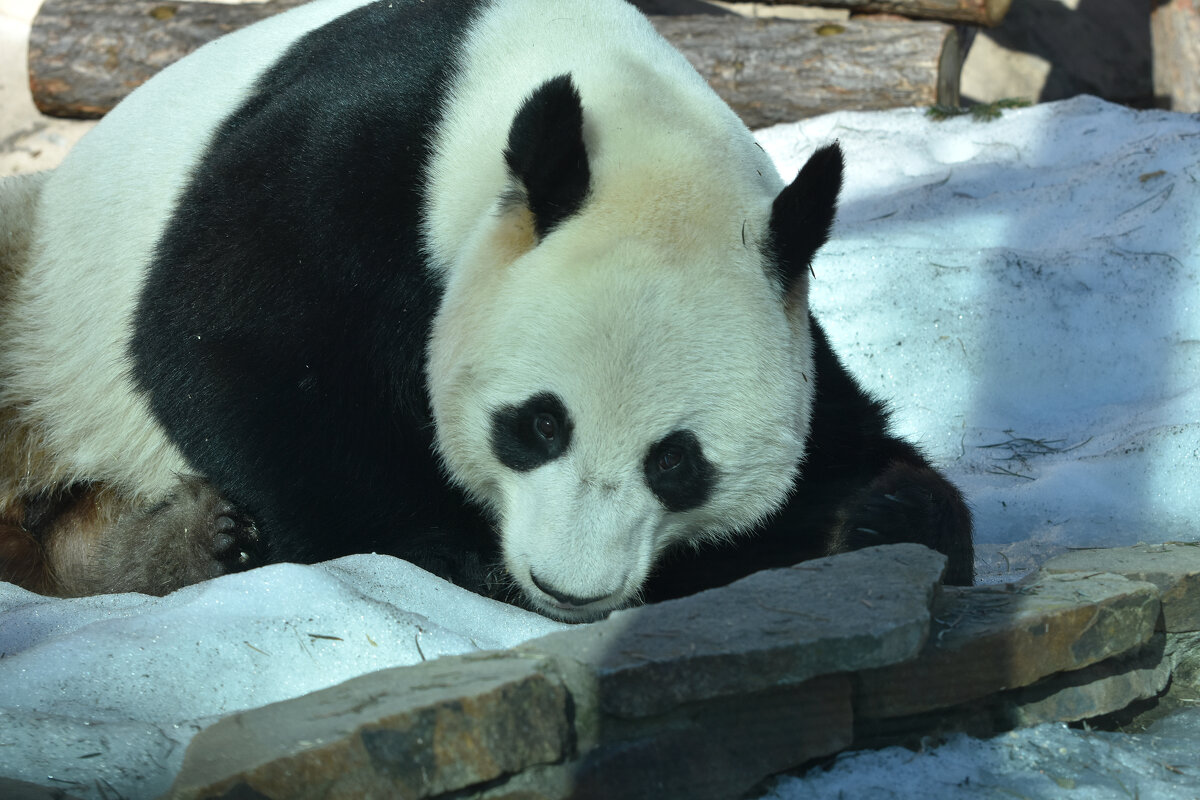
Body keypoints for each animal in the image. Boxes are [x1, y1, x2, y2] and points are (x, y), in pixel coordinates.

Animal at [0, 0, 969, 623]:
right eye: (538, 425)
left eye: (678, 462)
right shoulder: (353, 154)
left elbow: (839, 433)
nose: (569, 590)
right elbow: (226, 353)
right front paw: (459, 552)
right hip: (39, 290)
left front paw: (882, 515)